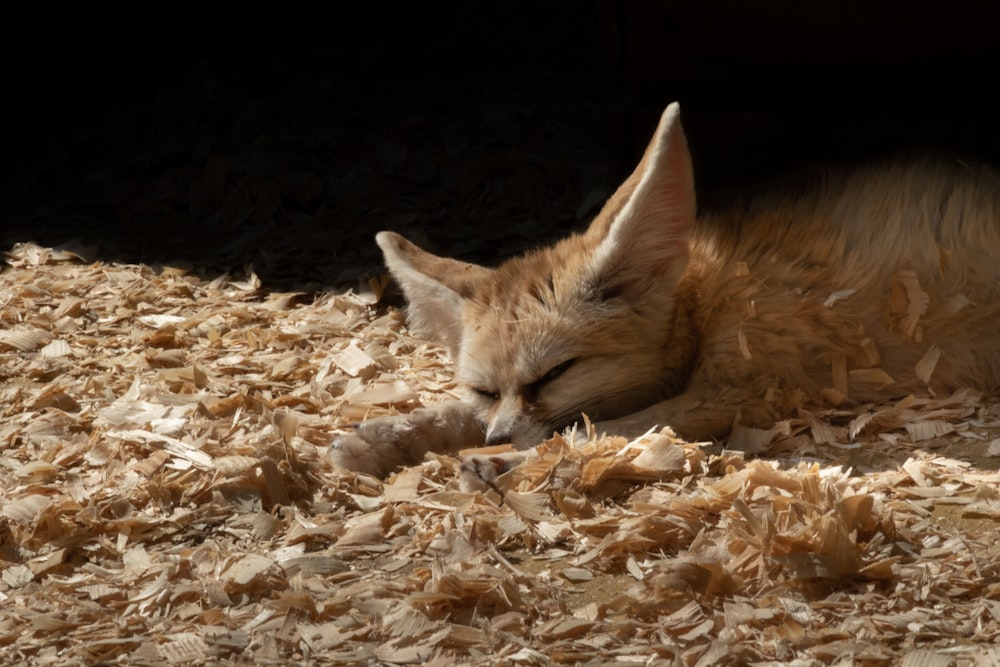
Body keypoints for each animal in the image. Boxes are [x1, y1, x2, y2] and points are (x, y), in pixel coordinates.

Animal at [332, 103, 1000, 480]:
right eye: (484, 389)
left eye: (554, 375)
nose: (496, 439)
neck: (705, 298)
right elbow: (462, 416)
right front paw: (382, 439)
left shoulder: (731, 395)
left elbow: (593, 433)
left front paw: (500, 462)